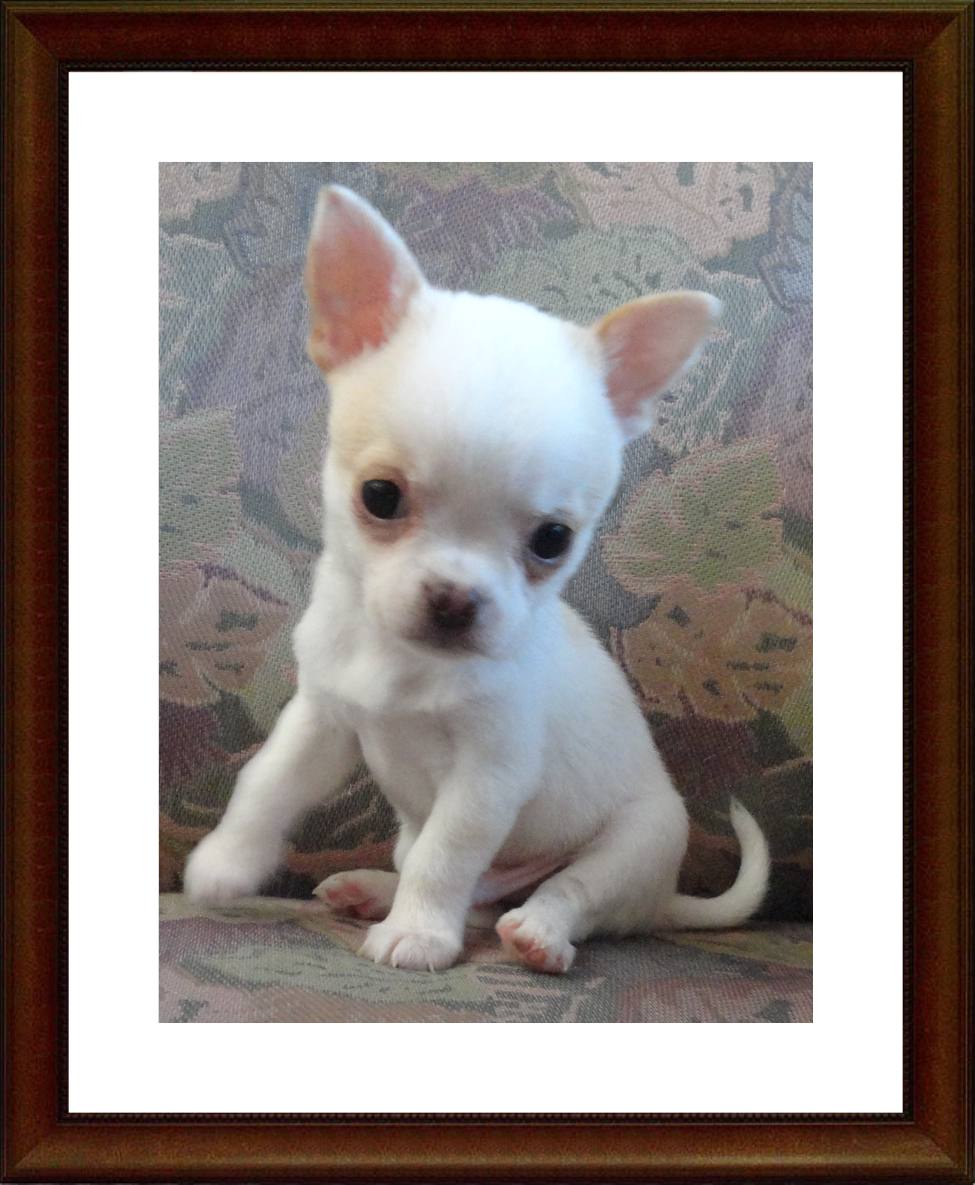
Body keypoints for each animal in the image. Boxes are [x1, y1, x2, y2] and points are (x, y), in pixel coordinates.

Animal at [183, 185, 770, 974]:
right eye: (379, 496)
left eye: (552, 539)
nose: (456, 600)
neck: (401, 664)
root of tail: (660, 902)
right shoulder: (321, 719)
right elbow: (266, 784)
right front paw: (226, 862)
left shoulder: (487, 778)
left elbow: (445, 856)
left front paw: (417, 933)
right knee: (456, 881)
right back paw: (372, 888)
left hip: (633, 844)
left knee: (565, 895)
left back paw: (537, 934)